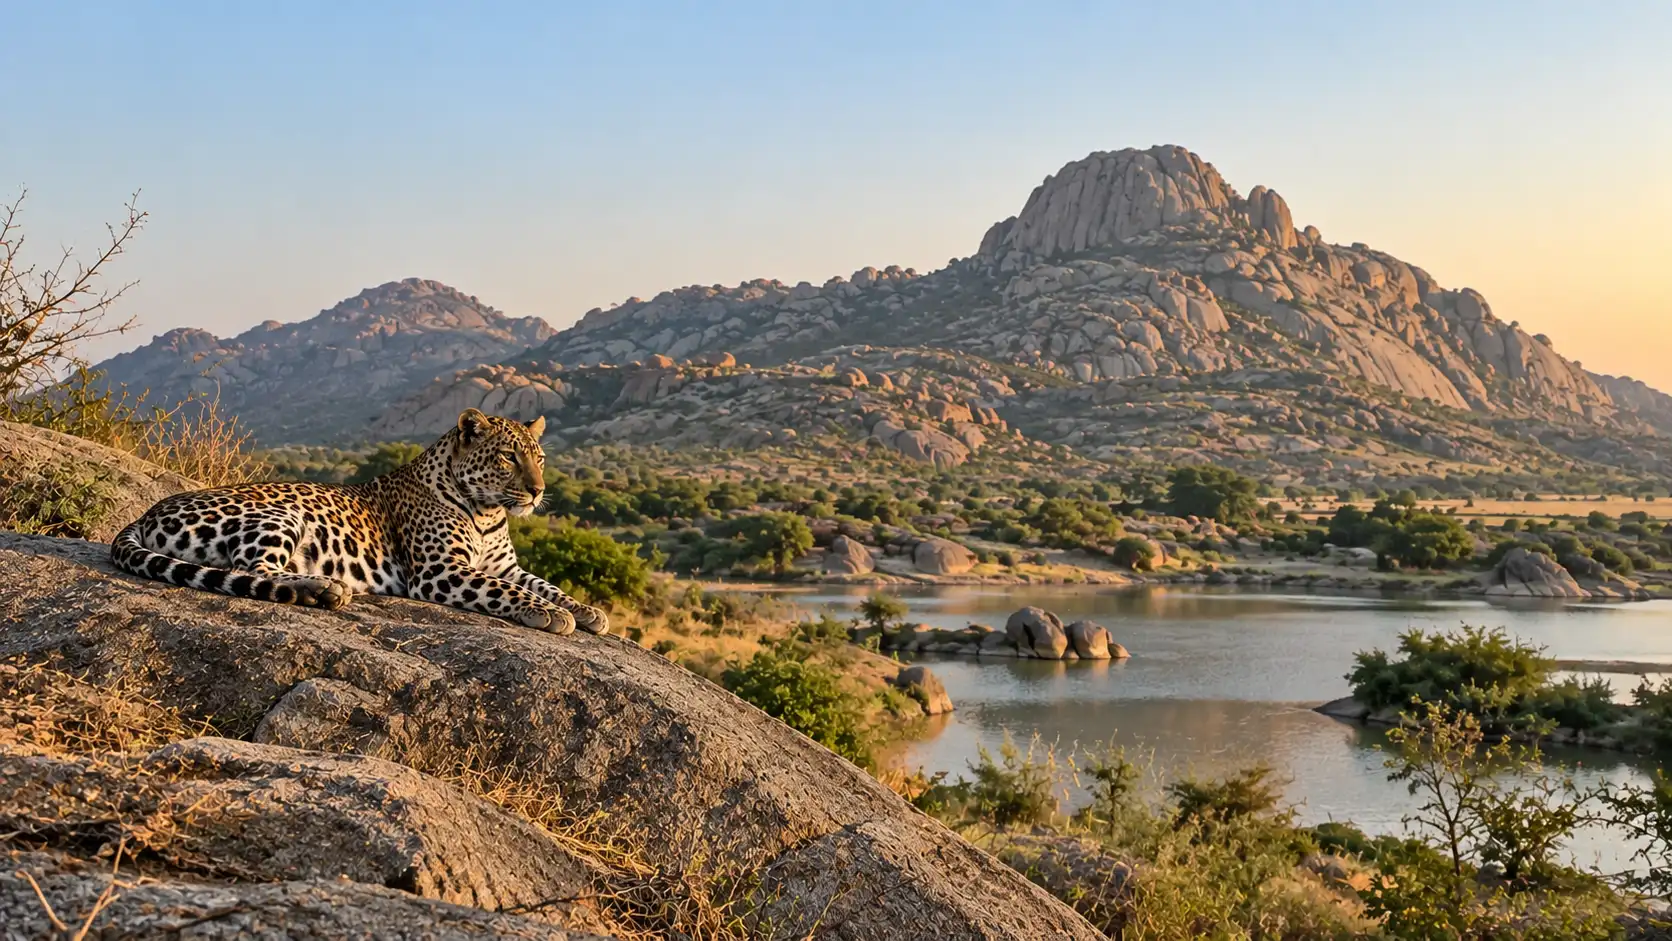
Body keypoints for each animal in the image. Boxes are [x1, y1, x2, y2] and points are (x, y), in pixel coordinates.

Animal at [110, 408, 607, 636]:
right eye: (508, 457)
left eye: (540, 458)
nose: (538, 490)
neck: (488, 511)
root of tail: (148, 511)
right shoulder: (440, 571)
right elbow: (506, 591)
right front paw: (551, 614)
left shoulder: (505, 565)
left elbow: (542, 583)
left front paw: (587, 611)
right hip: (278, 514)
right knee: (250, 569)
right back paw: (325, 588)